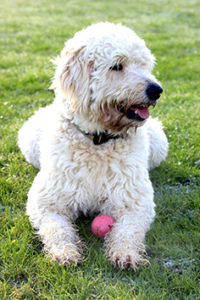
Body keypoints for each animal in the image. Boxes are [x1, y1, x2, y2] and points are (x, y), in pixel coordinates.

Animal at [18, 22, 169, 268]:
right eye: (117, 66)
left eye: (144, 65)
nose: (156, 90)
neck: (98, 142)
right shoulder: (47, 201)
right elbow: (56, 227)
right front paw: (64, 251)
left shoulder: (134, 202)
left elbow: (128, 230)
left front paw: (125, 253)